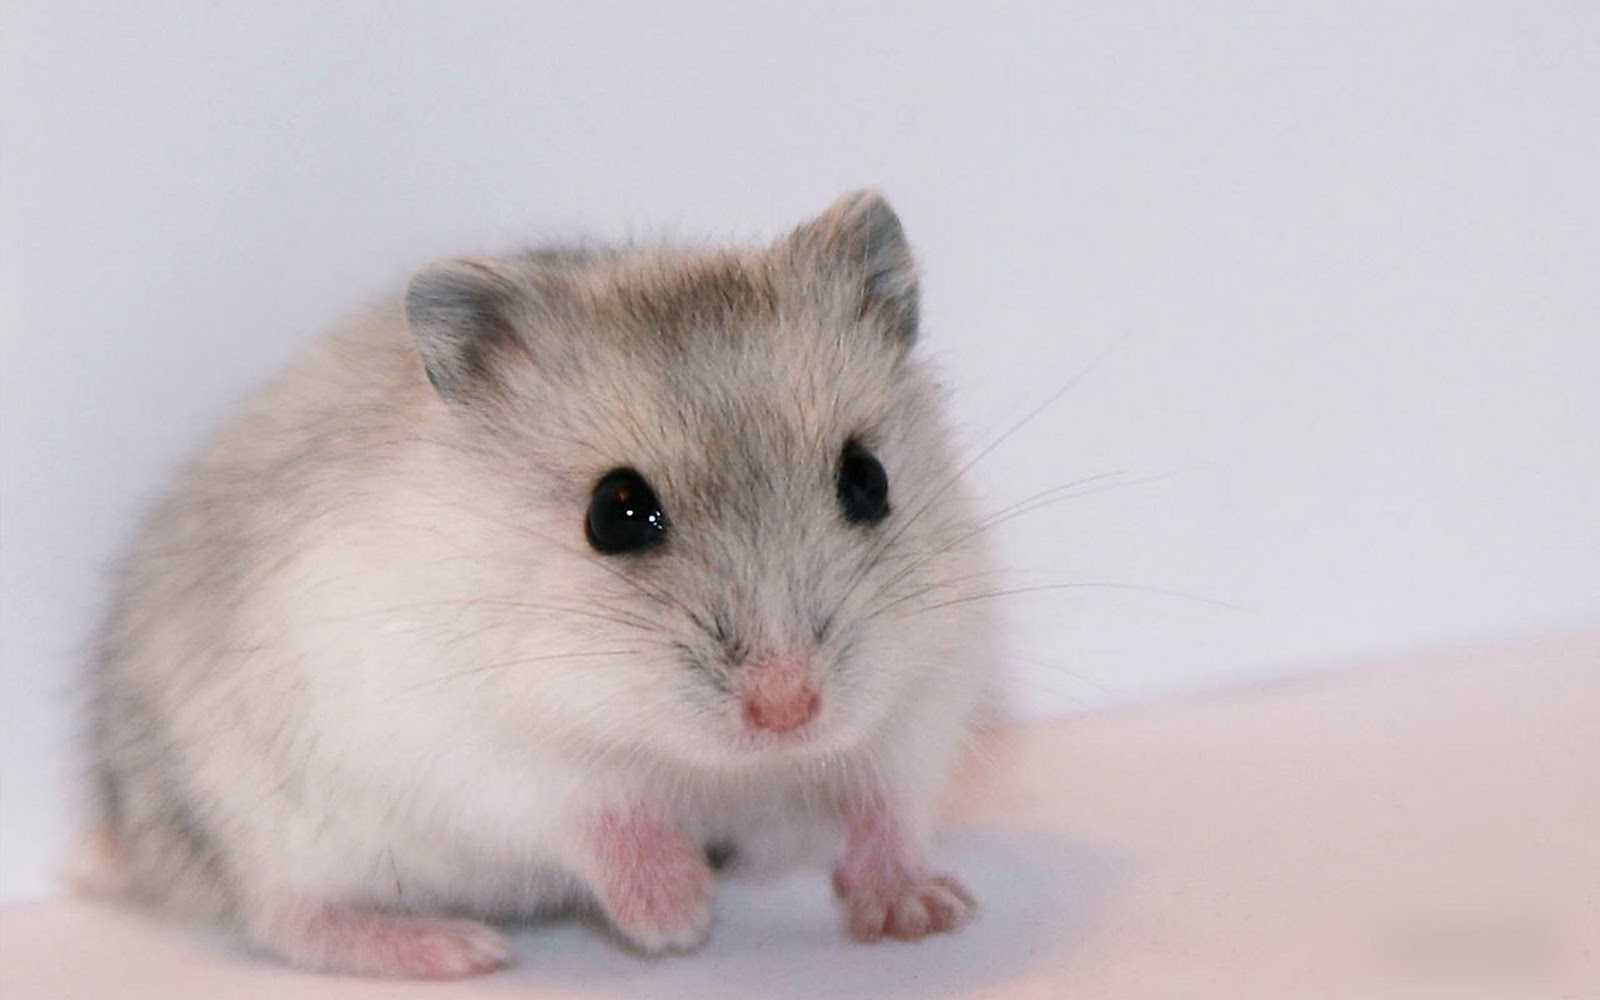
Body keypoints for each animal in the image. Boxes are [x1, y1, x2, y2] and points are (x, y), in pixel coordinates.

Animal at [78, 190, 996, 978]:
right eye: (615, 514)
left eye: (869, 479)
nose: (788, 711)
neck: (707, 763)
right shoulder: (481, 753)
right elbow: (596, 812)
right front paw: (680, 917)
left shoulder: (923, 697)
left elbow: (886, 806)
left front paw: (926, 912)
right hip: (266, 821)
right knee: (286, 918)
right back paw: (459, 949)